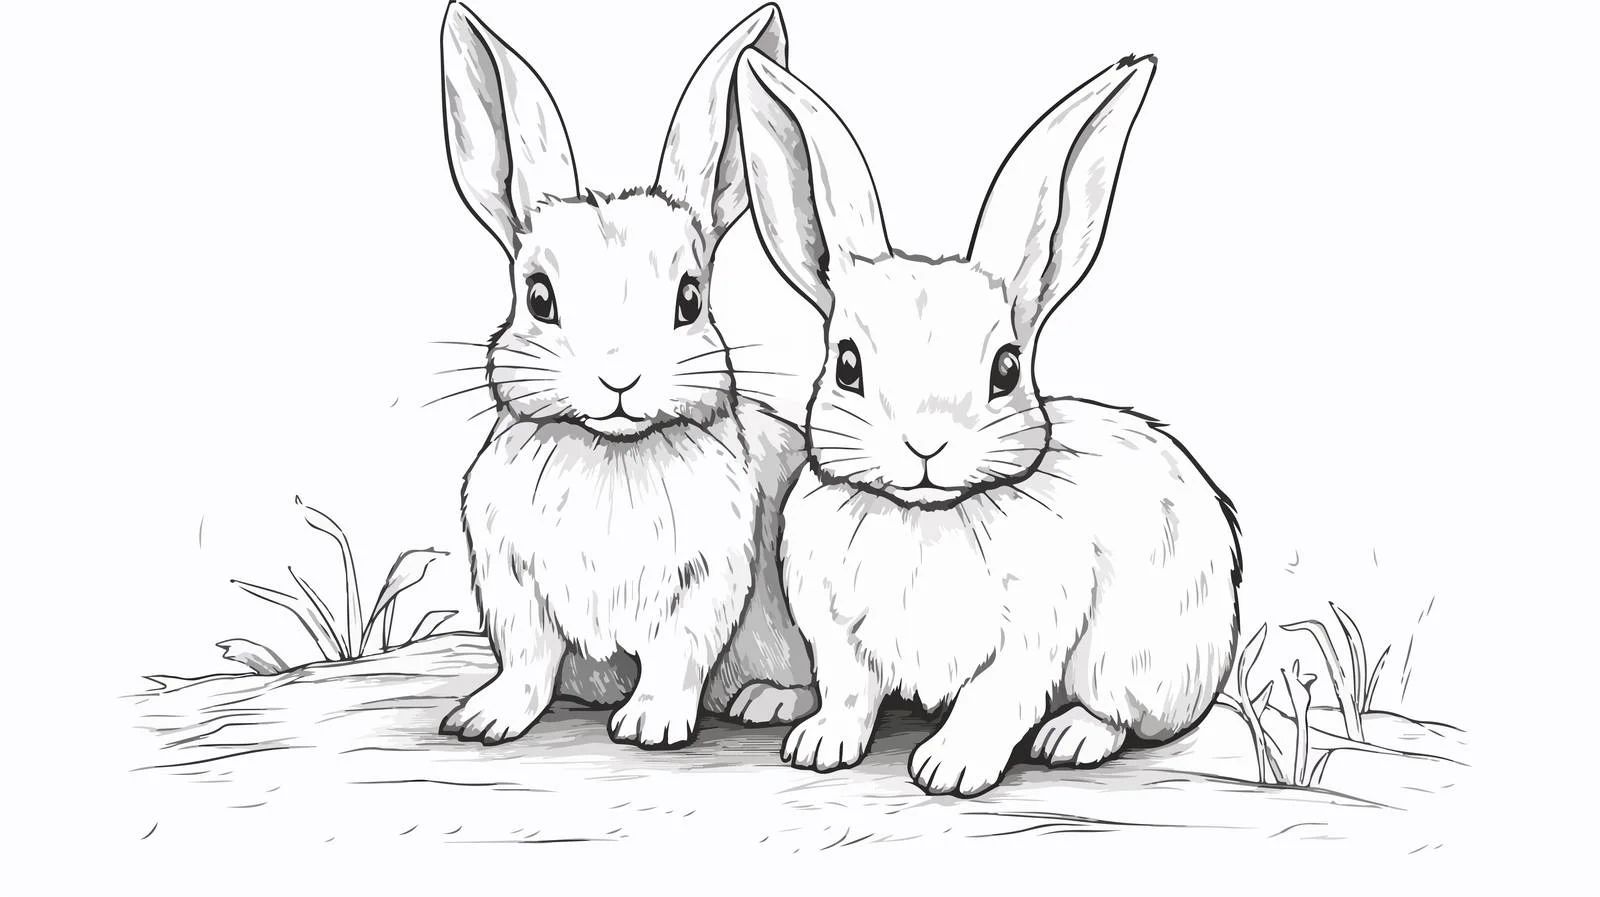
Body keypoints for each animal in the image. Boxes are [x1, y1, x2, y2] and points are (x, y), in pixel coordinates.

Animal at [435, 2, 816, 749]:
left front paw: (649, 725)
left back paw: (768, 702)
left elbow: (676, 654)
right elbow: (525, 660)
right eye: (539, 297)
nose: (619, 378)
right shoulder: (512, 581)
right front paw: (484, 720)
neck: (609, 452)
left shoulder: (705, 580)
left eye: (690, 299)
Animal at [735, 49, 1242, 796]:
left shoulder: (1033, 632)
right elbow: (850, 693)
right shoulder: (835, 631)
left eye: (1006, 369)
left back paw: (1071, 736)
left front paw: (949, 769)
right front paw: (820, 747)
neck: (924, 515)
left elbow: (995, 697)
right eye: (847, 364)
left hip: (1138, 658)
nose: (925, 445)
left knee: (1124, 715)